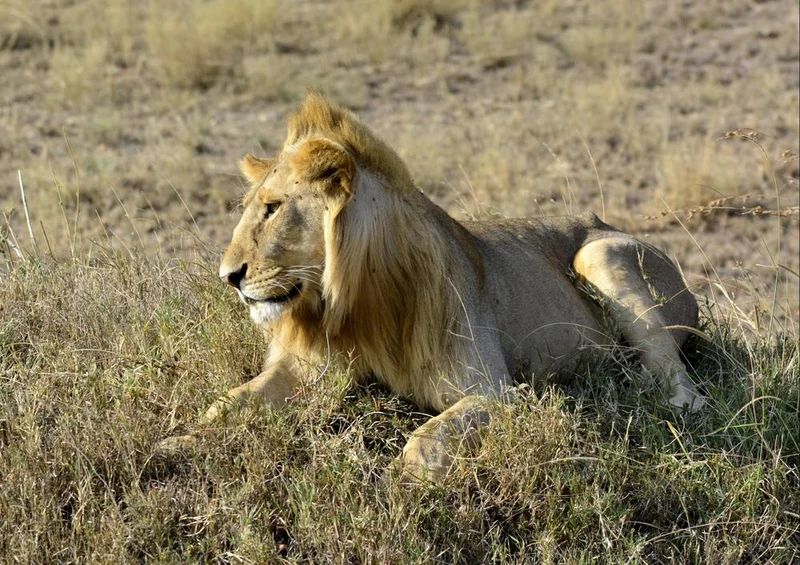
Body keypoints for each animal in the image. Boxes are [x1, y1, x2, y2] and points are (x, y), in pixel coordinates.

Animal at [159, 93, 706, 481]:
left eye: (272, 209)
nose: (228, 276)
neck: (357, 300)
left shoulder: (496, 393)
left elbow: (425, 441)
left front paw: (392, 491)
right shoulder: (309, 368)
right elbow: (229, 402)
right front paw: (173, 446)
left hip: (600, 253)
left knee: (683, 384)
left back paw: (642, 391)